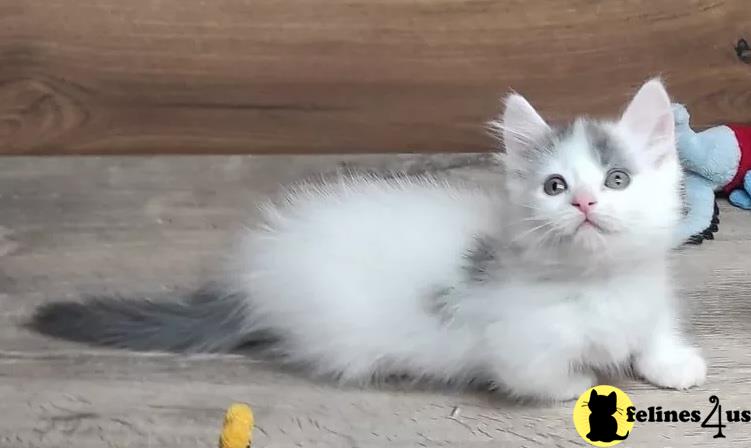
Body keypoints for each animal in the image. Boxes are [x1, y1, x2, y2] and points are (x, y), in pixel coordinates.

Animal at [33, 78, 704, 400]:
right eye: (555, 185)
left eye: (616, 179)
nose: (586, 202)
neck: (599, 280)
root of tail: (253, 279)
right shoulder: (517, 345)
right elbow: (540, 378)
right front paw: (583, 382)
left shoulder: (648, 298)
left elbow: (651, 336)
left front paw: (674, 364)